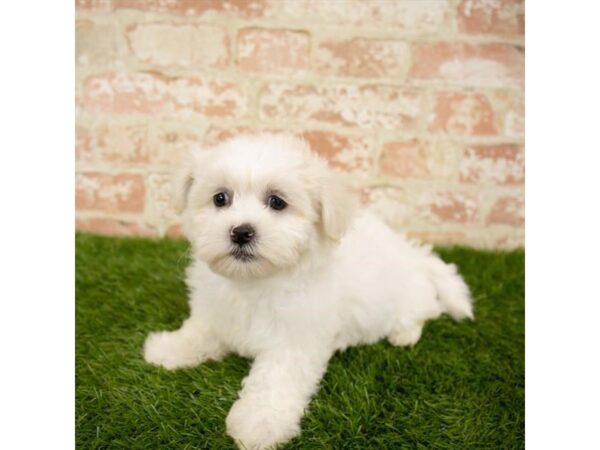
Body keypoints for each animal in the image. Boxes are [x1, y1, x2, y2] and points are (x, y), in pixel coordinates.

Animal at [143, 134, 472, 450]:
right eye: (220, 198)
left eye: (277, 202)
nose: (241, 232)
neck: (254, 281)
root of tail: (414, 254)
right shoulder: (217, 310)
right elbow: (200, 331)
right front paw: (170, 347)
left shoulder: (294, 340)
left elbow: (274, 381)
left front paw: (259, 423)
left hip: (409, 295)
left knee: (424, 310)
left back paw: (404, 334)